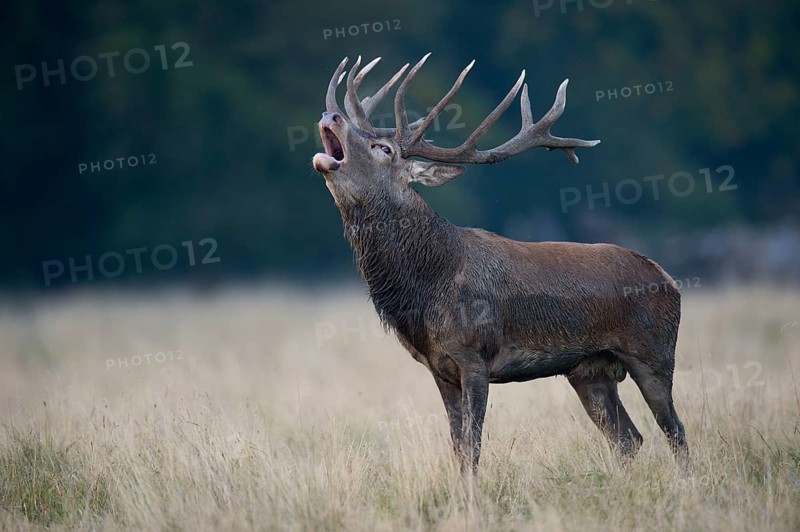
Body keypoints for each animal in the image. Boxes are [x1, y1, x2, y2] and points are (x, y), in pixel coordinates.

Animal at [312, 54, 688, 473]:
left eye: (385, 149)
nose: (331, 115)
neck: (428, 285)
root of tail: (668, 279)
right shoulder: (439, 368)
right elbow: (458, 447)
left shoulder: (475, 354)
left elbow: (473, 447)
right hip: (590, 370)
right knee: (628, 439)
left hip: (654, 352)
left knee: (675, 432)